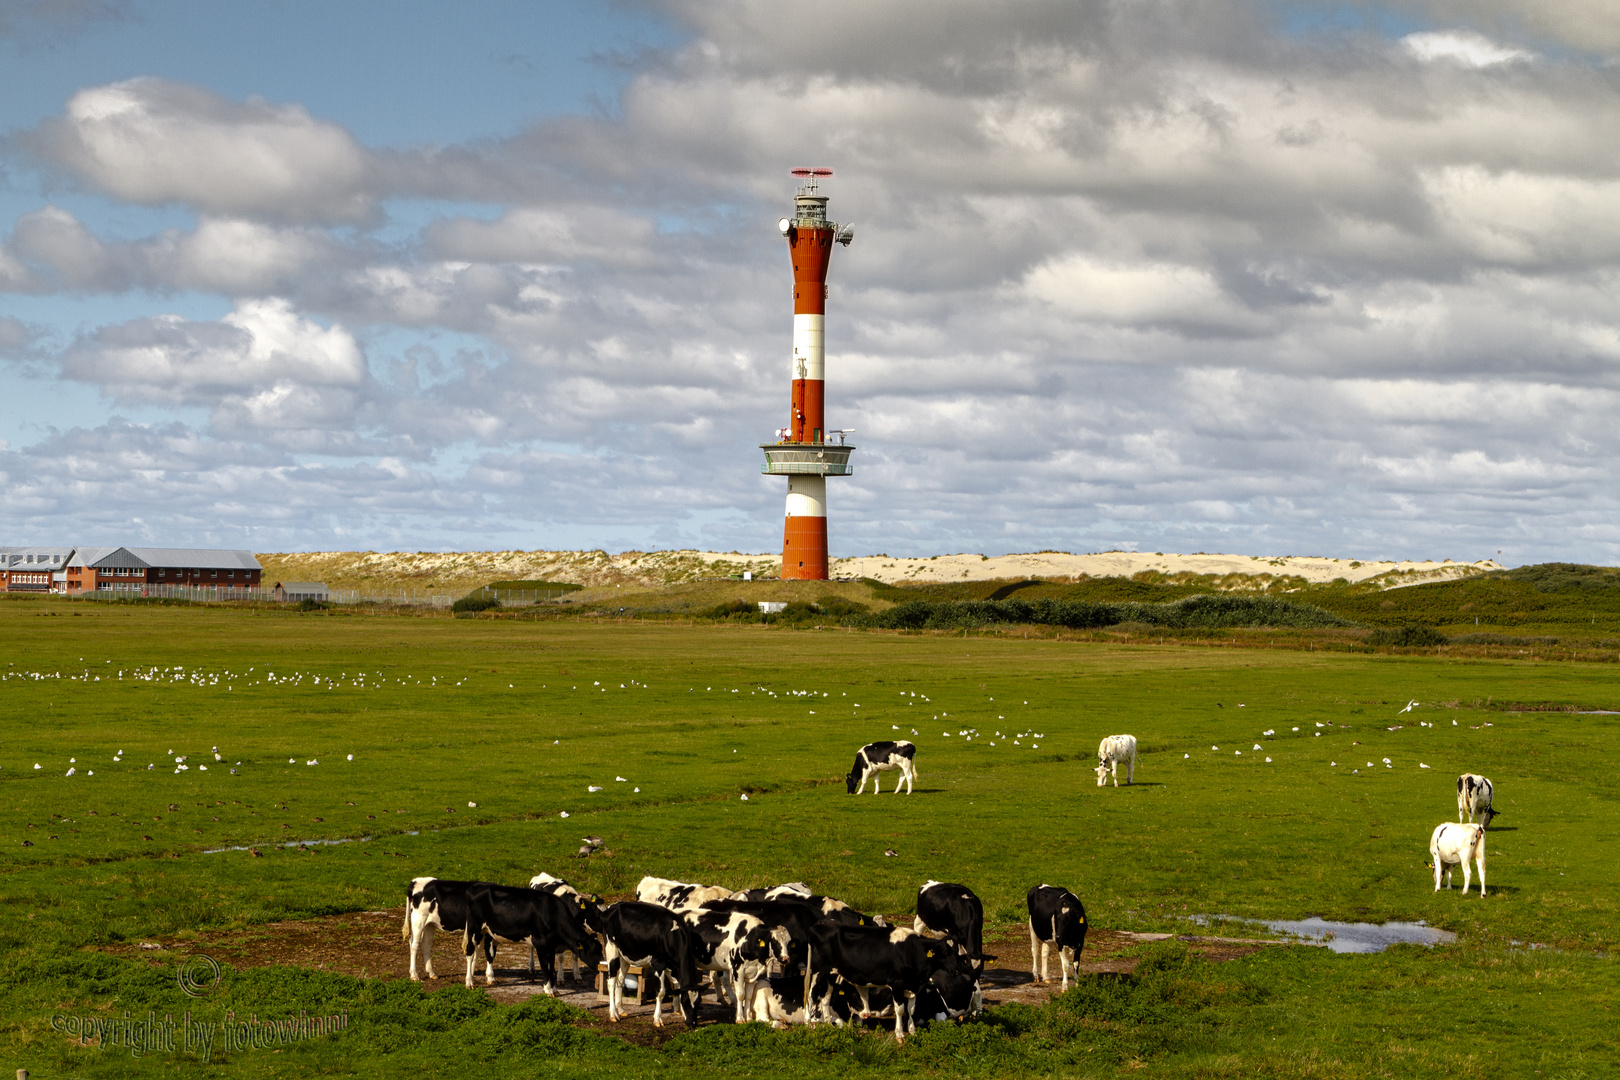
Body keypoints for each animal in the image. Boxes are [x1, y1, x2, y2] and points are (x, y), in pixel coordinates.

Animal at [466, 880, 605, 990]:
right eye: (593, 951)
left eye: (601, 949)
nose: (603, 965)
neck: (552, 913)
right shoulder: (541, 943)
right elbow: (545, 965)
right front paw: (549, 989)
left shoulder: (552, 945)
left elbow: (551, 966)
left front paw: (555, 988)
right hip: (474, 928)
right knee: (470, 953)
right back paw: (469, 982)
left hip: (486, 931)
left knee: (480, 951)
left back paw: (484, 977)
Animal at [596, 900, 696, 1029]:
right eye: (687, 1002)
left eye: (699, 1001)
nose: (693, 1023)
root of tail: (612, 906)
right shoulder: (658, 964)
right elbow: (661, 992)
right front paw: (657, 1019)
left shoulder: (671, 967)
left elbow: (676, 986)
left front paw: (680, 1012)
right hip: (611, 949)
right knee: (611, 981)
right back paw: (613, 1014)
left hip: (625, 955)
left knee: (620, 980)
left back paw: (621, 1010)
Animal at [803, 919, 965, 1036]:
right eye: (944, 952)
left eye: (956, 952)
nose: (957, 971)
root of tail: (820, 923)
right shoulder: (897, 984)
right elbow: (900, 1009)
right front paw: (900, 1034)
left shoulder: (913, 986)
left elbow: (911, 1009)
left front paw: (912, 1031)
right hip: (818, 970)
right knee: (812, 995)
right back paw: (807, 1024)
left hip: (832, 973)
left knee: (825, 999)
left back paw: (828, 1025)